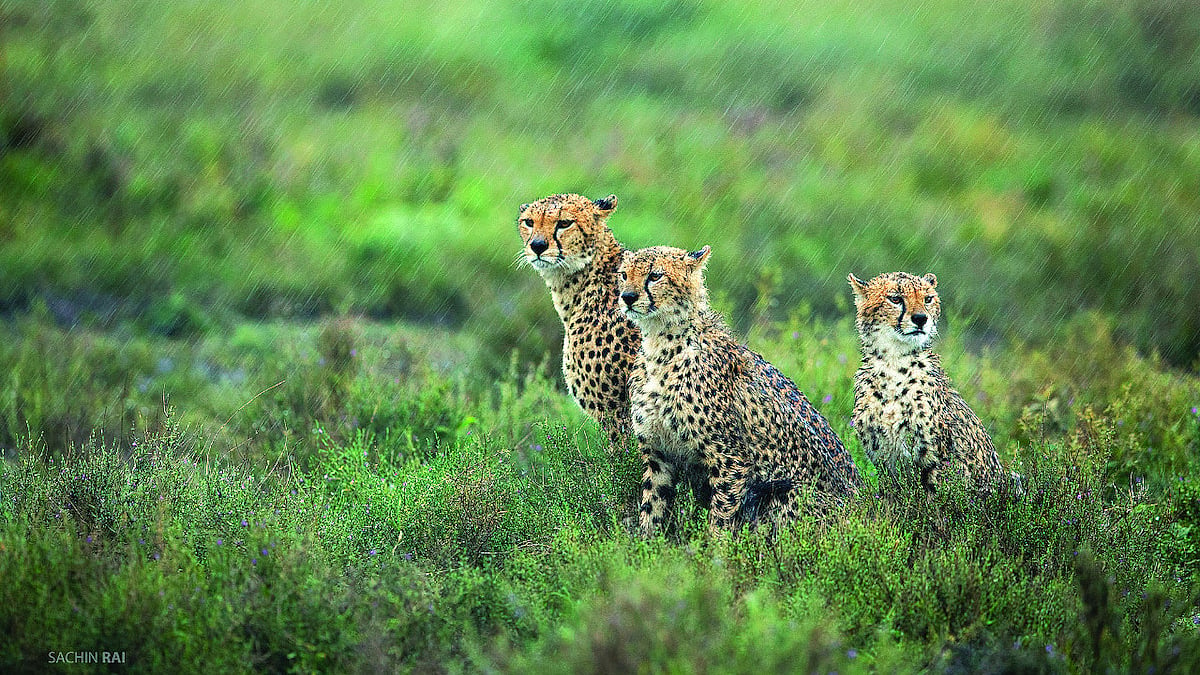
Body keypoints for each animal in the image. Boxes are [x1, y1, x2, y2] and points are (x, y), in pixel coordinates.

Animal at [618, 245, 861, 536]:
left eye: (655, 275)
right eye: (623, 274)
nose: (627, 297)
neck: (661, 346)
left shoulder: (730, 459)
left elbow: (720, 518)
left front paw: (713, 548)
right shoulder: (658, 455)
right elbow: (651, 508)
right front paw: (643, 543)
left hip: (786, 491)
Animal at [848, 271, 1019, 494]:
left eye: (928, 299)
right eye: (895, 299)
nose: (921, 319)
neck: (894, 362)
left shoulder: (939, 460)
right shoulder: (884, 459)